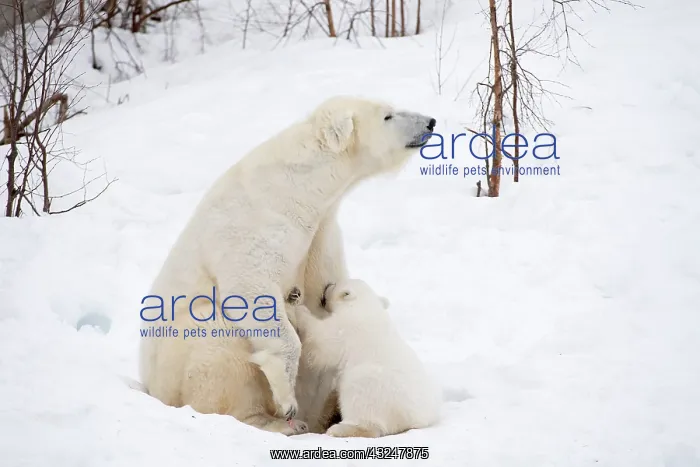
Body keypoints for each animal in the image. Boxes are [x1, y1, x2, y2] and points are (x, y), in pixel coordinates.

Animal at [294, 278, 441, 438]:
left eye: (335, 285)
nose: (328, 285)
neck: (366, 307)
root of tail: (413, 420)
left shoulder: (346, 328)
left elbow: (323, 341)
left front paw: (300, 310)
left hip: (372, 388)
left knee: (361, 404)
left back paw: (339, 429)